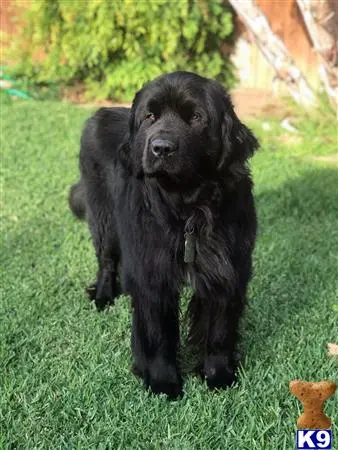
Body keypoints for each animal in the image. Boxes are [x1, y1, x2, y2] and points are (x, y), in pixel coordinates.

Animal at [69, 72, 258, 400]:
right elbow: (157, 332)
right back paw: (104, 296)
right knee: (106, 258)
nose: (161, 147)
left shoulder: (228, 267)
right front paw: (163, 383)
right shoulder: (152, 271)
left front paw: (219, 376)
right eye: (150, 117)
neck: (187, 209)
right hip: (104, 216)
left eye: (195, 117)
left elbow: (220, 330)